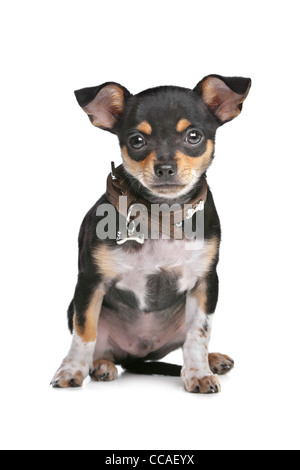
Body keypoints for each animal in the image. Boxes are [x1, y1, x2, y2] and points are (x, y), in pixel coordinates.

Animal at [51, 75, 251, 394]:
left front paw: (198, 374)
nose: (165, 168)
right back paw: (100, 366)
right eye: (137, 141)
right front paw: (71, 370)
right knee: (102, 348)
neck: (162, 215)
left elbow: (198, 335)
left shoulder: (205, 284)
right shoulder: (90, 283)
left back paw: (213, 359)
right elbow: (84, 333)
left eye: (193, 136)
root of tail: (138, 354)